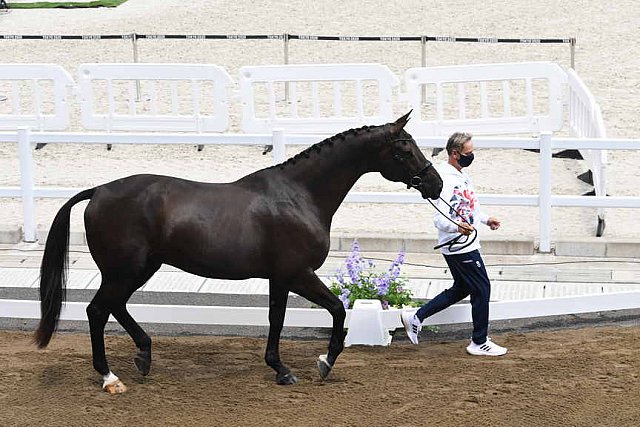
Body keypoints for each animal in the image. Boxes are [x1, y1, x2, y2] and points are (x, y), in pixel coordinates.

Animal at [35, 112, 442, 392]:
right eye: (405, 149)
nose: (435, 184)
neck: (300, 195)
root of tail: (99, 191)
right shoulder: (298, 274)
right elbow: (337, 310)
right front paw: (323, 362)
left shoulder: (280, 278)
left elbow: (277, 319)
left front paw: (281, 368)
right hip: (125, 270)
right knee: (97, 311)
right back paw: (110, 377)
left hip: (141, 268)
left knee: (114, 307)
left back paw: (144, 356)